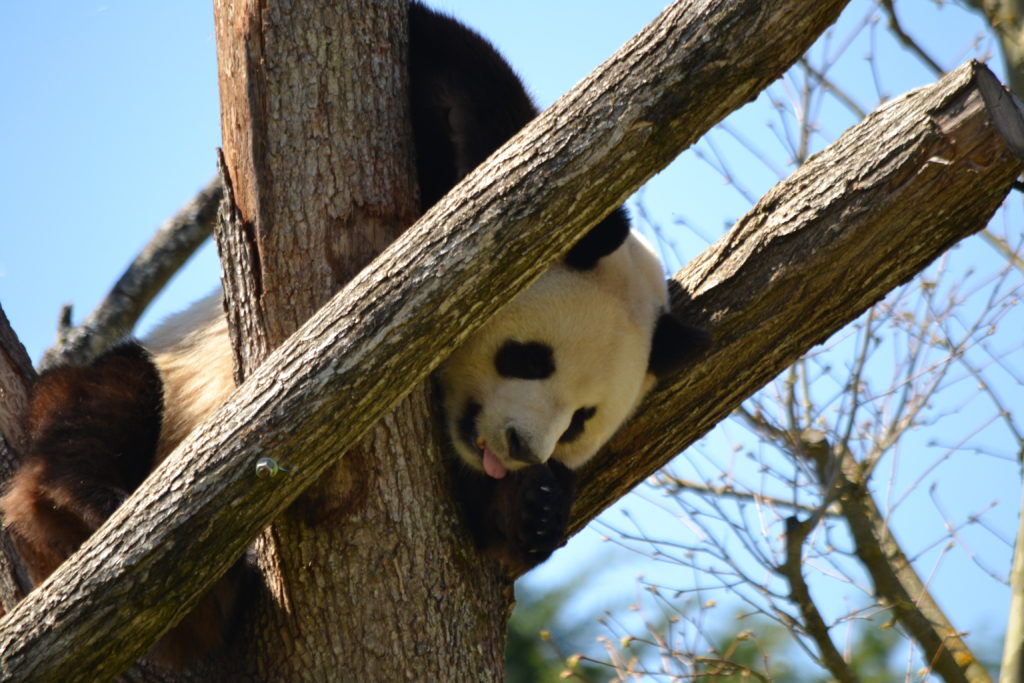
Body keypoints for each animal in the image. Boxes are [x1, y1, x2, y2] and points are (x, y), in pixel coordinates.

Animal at [0, 0, 704, 671]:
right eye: (528, 359)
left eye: (583, 419)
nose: (522, 449)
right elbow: (471, 93)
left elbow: (494, 528)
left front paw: (536, 506)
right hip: (161, 384)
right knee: (101, 399)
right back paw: (78, 503)